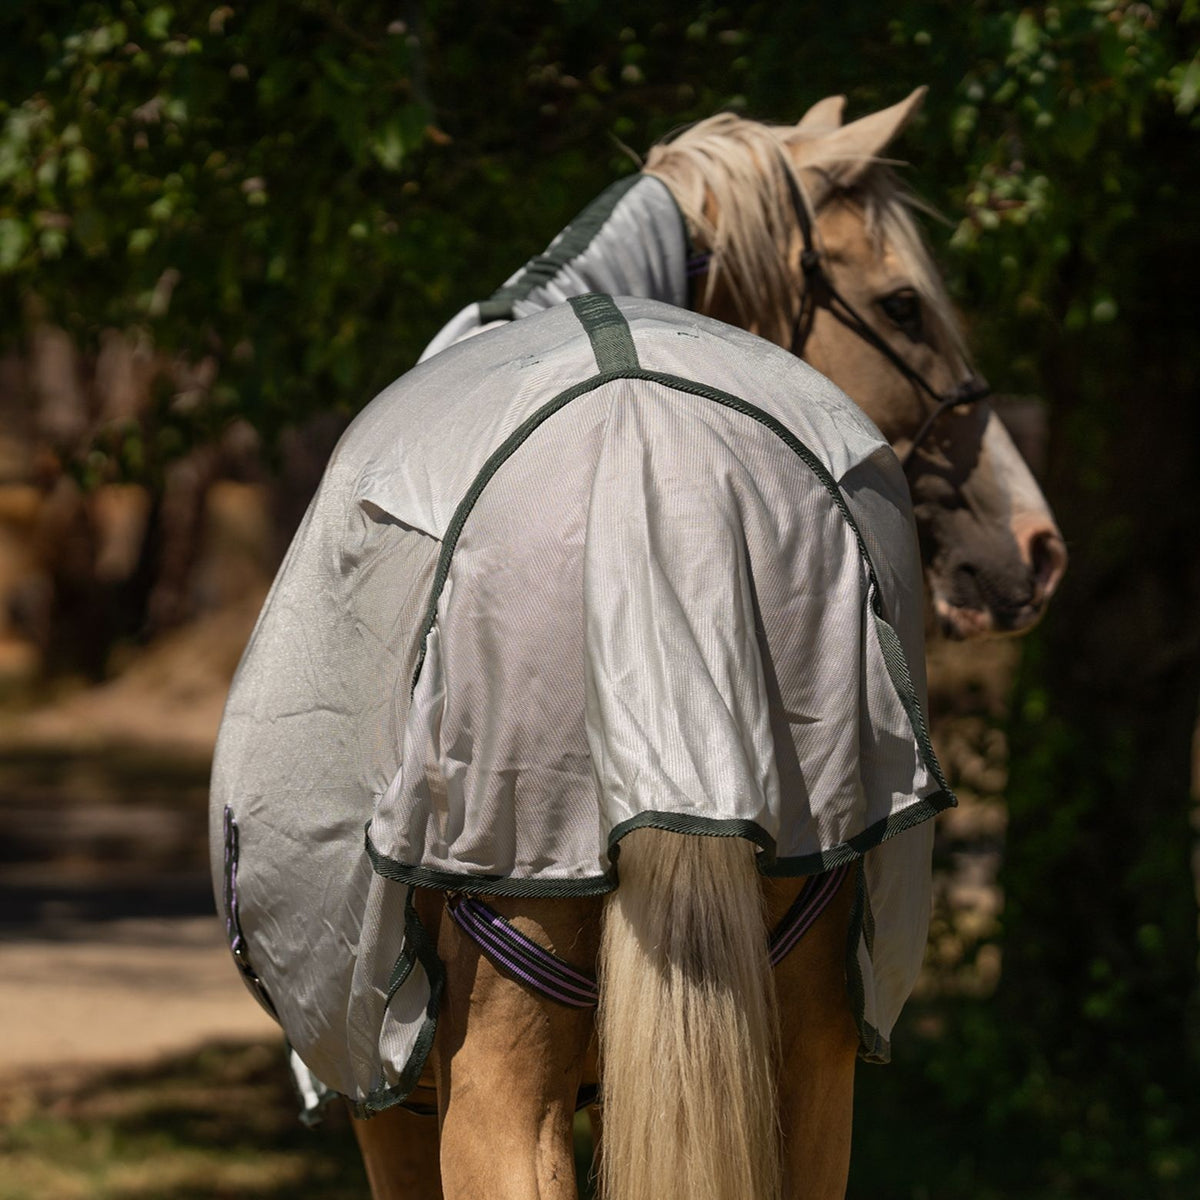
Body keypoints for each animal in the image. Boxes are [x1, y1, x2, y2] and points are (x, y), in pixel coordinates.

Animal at [211, 89, 1065, 1200]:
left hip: (494, 1078)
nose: (1034, 545)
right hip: (808, 1067)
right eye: (904, 306)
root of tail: (646, 456)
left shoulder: (385, 1102)